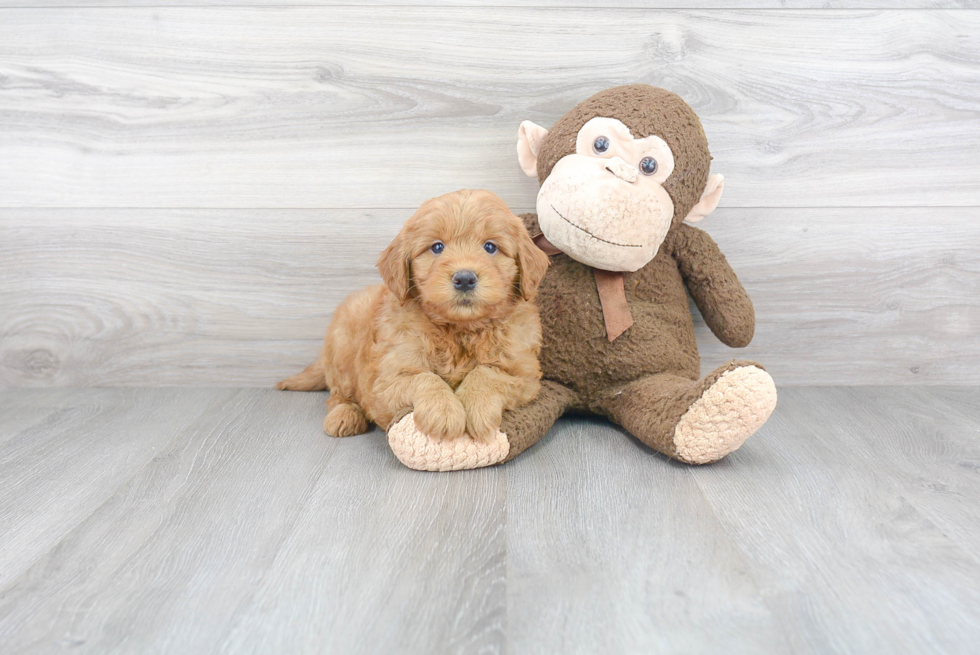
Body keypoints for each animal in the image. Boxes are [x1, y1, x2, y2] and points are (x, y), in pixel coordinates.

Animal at [278, 191, 552, 446]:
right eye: (437, 247)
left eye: (490, 247)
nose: (464, 278)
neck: (459, 330)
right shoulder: (388, 378)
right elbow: (424, 378)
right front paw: (445, 412)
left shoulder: (524, 373)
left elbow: (487, 374)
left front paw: (477, 409)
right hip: (343, 342)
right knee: (338, 393)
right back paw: (344, 415)